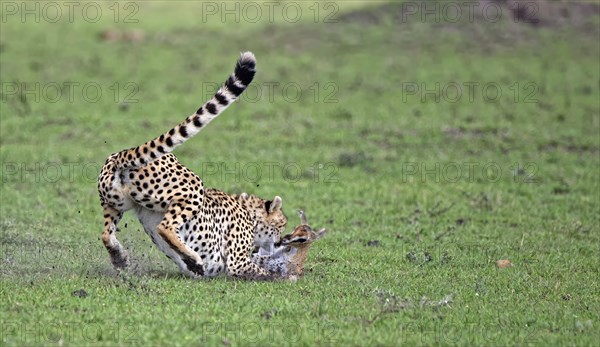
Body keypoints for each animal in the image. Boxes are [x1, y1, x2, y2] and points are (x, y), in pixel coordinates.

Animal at [96, 52, 288, 280]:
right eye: (282, 224)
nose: (281, 241)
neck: (248, 210)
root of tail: (122, 154)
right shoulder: (237, 262)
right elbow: (263, 271)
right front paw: (285, 276)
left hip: (115, 202)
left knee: (106, 234)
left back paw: (120, 258)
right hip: (191, 189)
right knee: (165, 227)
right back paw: (193, 259)